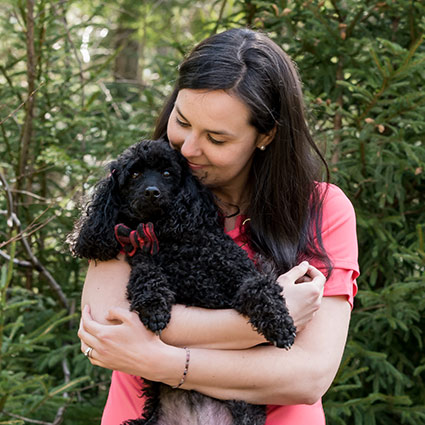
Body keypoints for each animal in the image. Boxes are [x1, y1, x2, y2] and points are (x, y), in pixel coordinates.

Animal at [69, 139, 294, 424]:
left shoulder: (241, 274)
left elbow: (260, 288)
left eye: (167, 173)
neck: (167, 239)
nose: (152, 192)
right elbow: (147, 277)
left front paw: (280, 325)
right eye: (134, 174)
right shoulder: (143, 260)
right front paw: (154, 308)